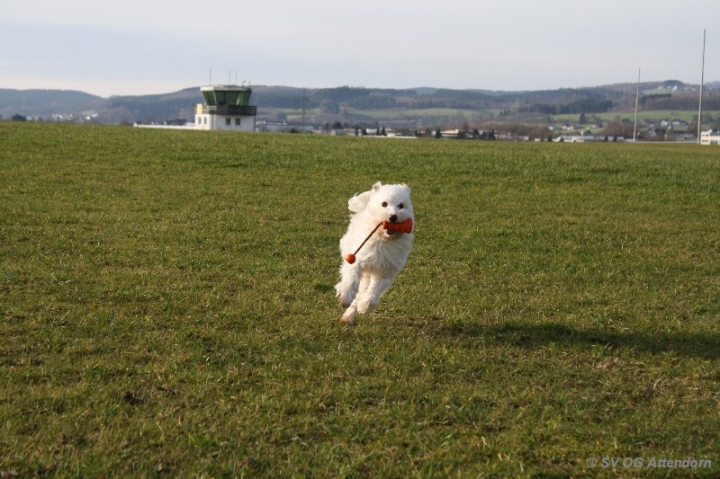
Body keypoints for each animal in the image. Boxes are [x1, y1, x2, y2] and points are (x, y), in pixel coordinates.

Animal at [334, 182, 414, 324]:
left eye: (401, 205)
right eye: (384, 204)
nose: (393, 217)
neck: (384, 238)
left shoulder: (386, 272)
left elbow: (374, 291)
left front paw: (365, 306)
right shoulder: (357, 260)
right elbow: (351, 280)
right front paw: (345, 297)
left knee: (362, 291)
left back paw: (350, 315)